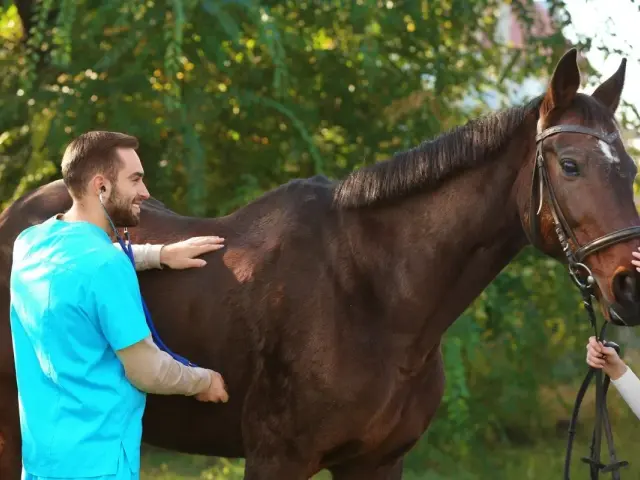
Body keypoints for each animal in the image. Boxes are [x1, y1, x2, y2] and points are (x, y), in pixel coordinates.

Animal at [1, 49, 639, 480]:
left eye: (629, 168)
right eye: (570, 165)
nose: (629, 285)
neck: (372, 296)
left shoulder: (377, 462)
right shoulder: (277, 459)